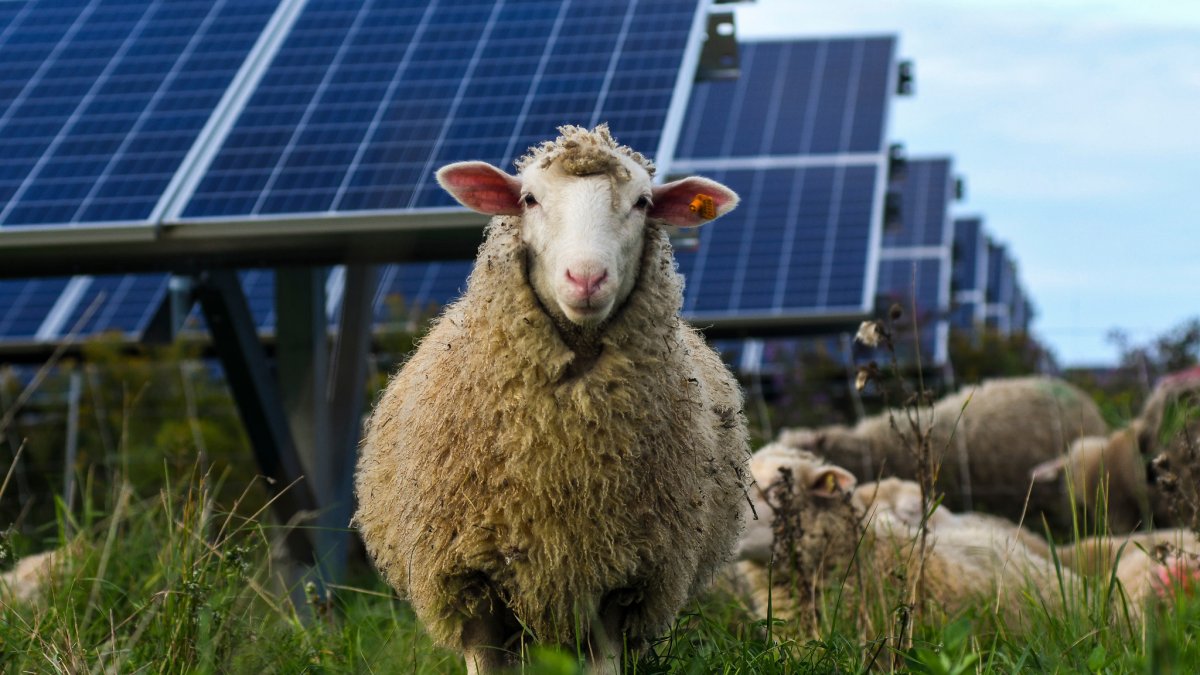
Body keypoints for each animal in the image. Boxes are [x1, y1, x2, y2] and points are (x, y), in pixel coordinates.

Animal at [354, 125, 749, 674]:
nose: (585, 278)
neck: (558, 461)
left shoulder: (622, 583)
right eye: (529, 199)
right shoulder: (469, 583)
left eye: (643, 202)